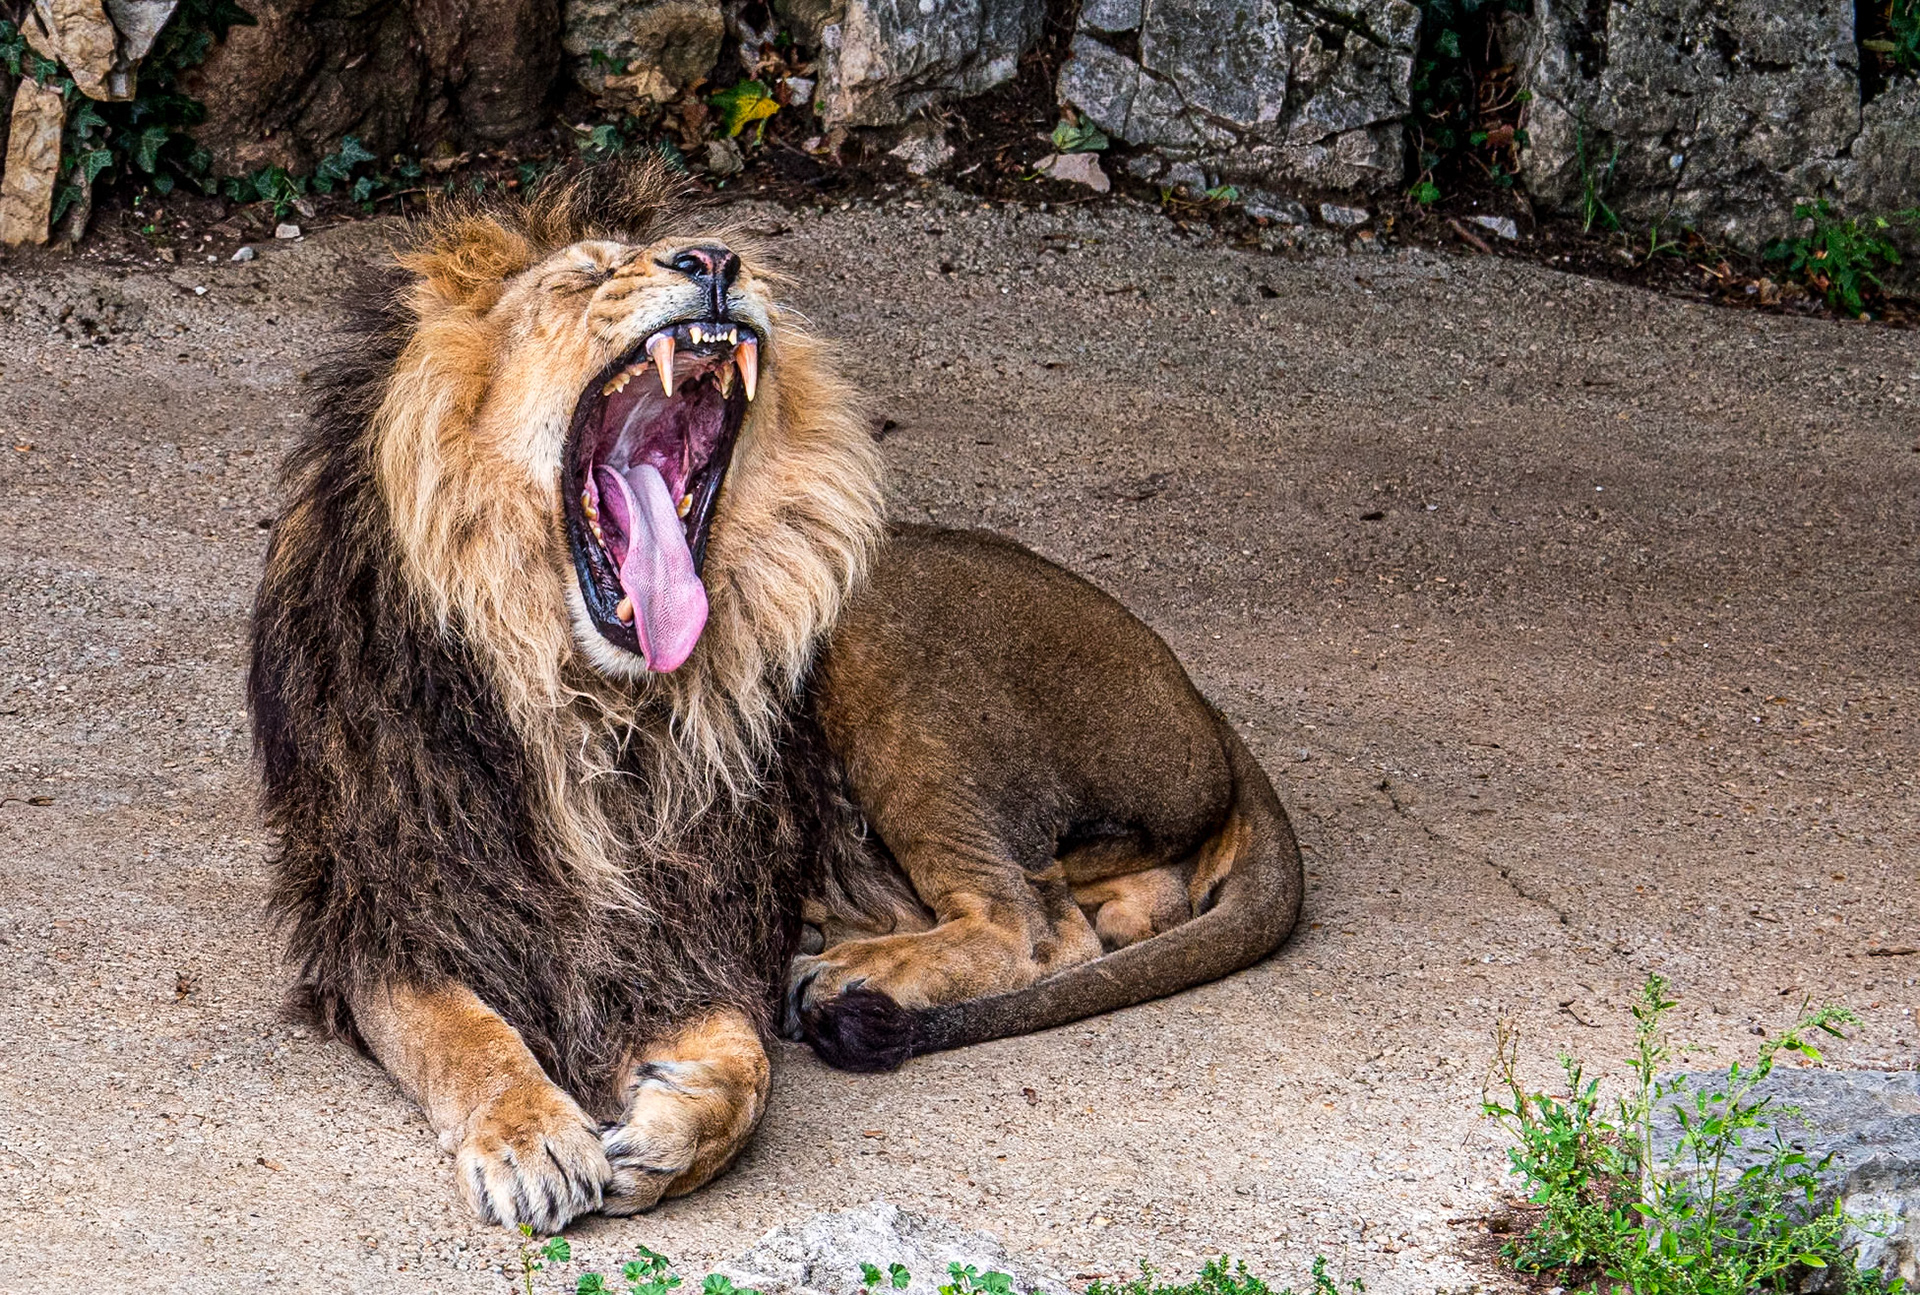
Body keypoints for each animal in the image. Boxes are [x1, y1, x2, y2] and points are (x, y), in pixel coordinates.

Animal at [248, 163, 1304, 1234]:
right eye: (584, 276)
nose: (715, 260)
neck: (593, 708)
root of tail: (1200, 699)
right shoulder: (384, 910)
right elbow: (463, 1034)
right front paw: (531, 1137)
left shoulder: (701, 921)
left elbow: (746, 1067)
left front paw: (671, 1133)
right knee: (1097, 913)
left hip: (885, 654)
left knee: (1033, 926)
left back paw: (841, 972)